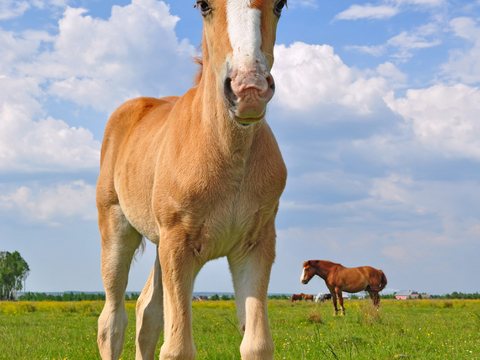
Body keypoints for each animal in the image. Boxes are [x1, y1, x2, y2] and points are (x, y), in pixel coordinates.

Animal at [95, 1, 286, 358]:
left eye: (280, 5)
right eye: (203, 6)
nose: (248, 90)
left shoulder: (256, 244)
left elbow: (256, 344)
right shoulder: (178, 244)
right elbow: (178, 348)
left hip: (162, 245)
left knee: (147, 312)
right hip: (118, 227)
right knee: (112, 321)